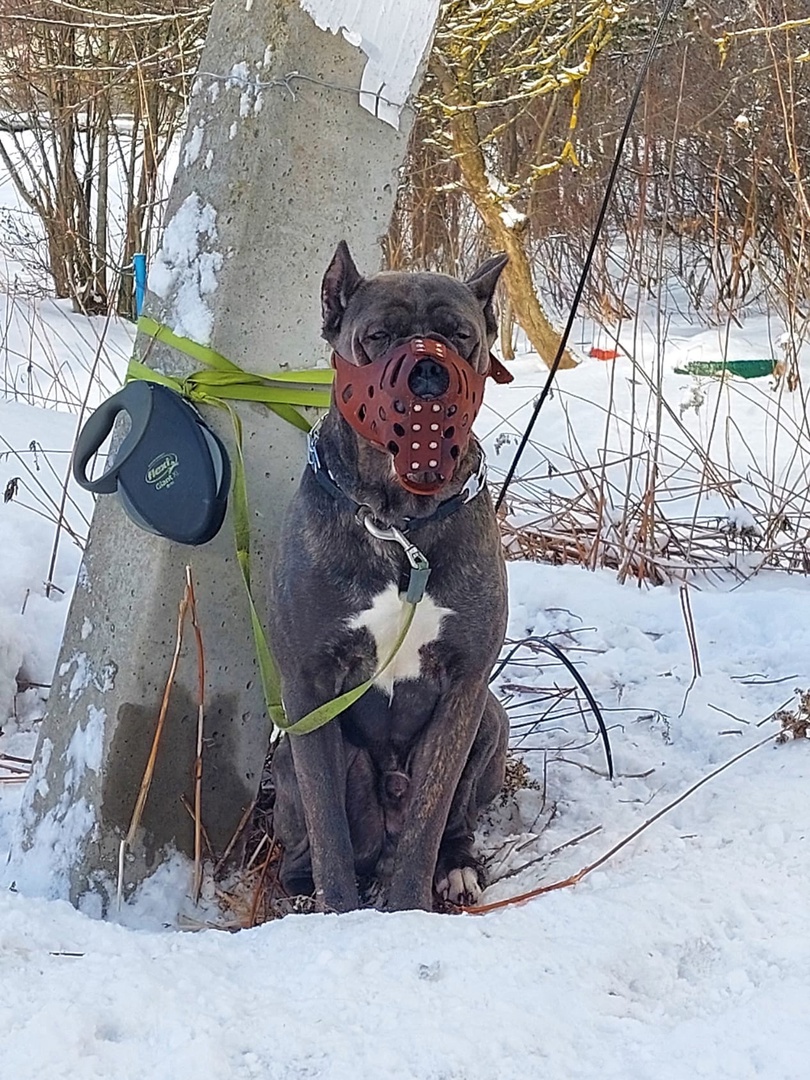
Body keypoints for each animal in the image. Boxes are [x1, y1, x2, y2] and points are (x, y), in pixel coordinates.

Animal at [273, 245, 514, 911]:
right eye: (378, 336)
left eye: (460, 336)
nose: (428, 372)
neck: (397, 521)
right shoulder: (310, 685)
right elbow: (327, 822)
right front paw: (338, 910)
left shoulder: (463, 686)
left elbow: (428, 822)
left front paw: (408, 909)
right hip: (288, 755)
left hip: (491, 716)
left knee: (449, 819)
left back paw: (456, 866)